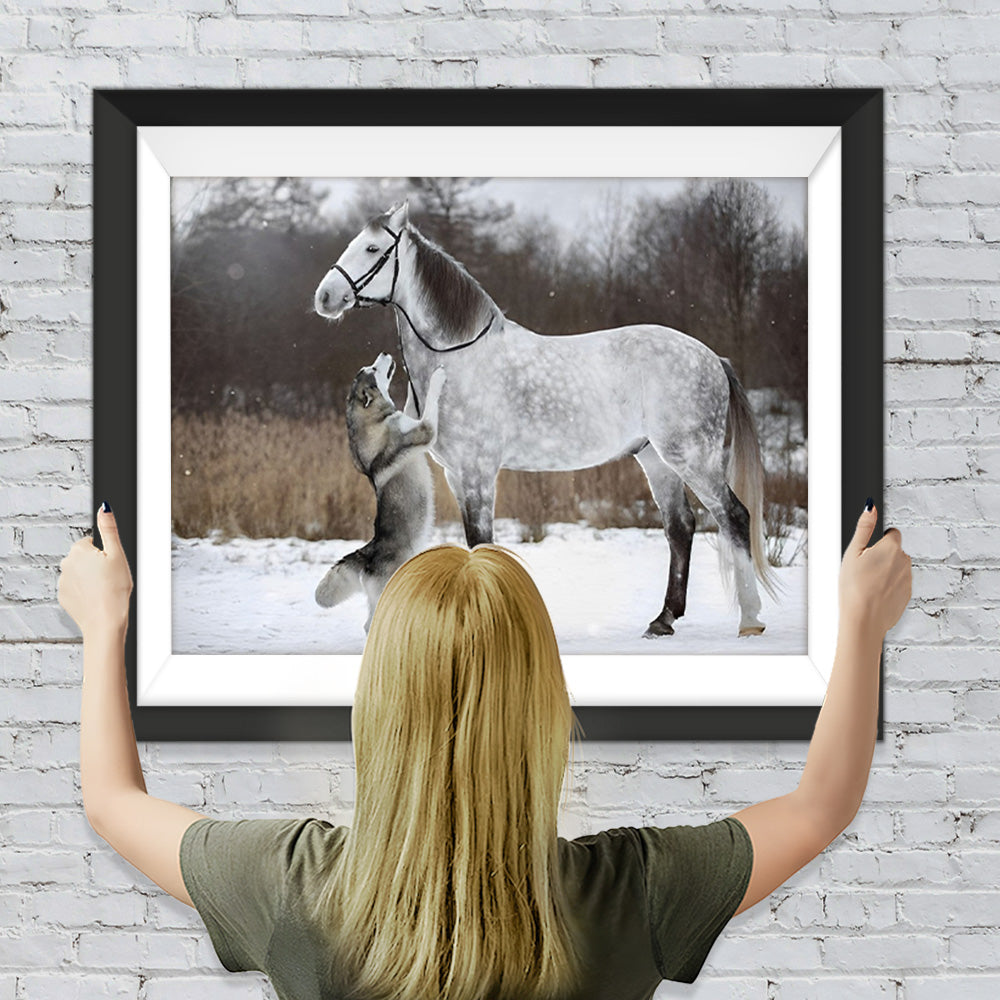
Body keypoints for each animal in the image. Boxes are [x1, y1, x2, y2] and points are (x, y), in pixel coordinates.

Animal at [315, 353, 445, 631]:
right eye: (373, 369)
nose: (385, 354)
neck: (375, 420)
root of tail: (367, 555)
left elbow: (409, 406)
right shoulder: (425, 431)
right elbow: (430, 401)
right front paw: (437, 376)